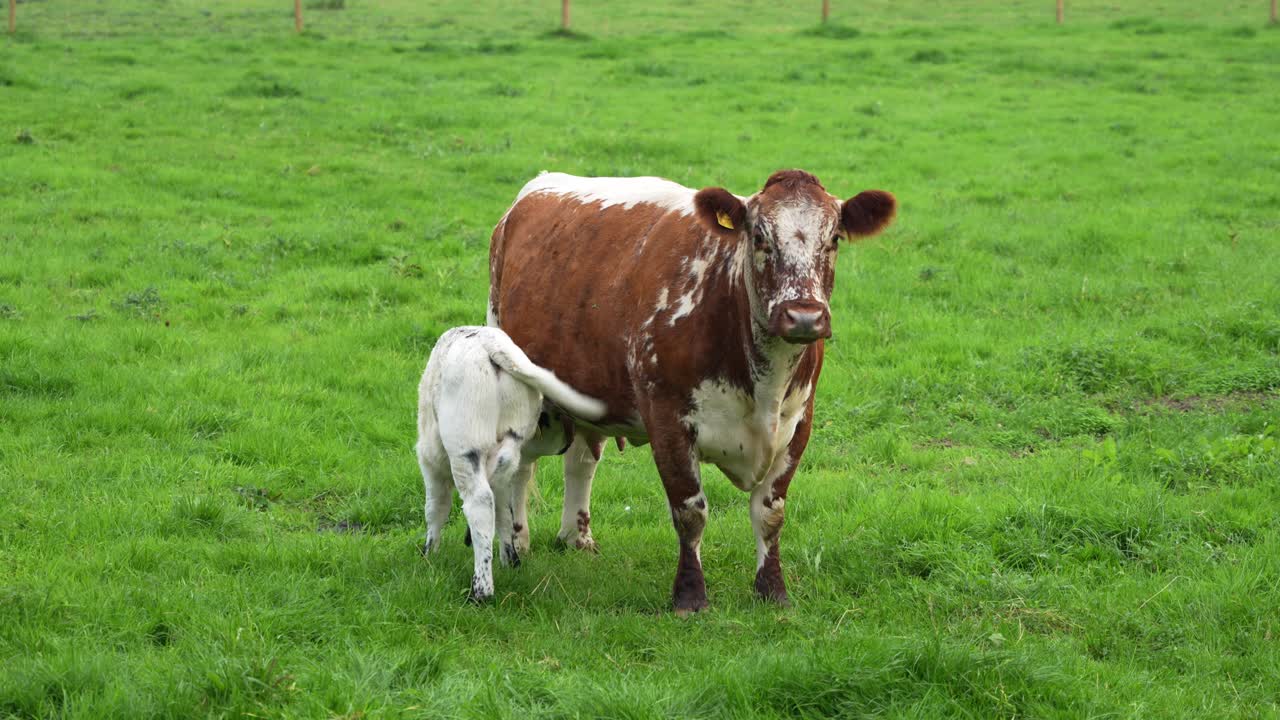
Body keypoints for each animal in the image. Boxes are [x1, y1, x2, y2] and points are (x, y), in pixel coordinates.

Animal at [415, 326, 606, 602]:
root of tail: (492, 344)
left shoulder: (430, 460)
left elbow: (435, 508)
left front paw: (430, 553)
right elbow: (505, 508)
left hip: (465, 446)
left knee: (481, 502)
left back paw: (481, 590)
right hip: (512, 435)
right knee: (500, 498)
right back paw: (510, 560)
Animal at [487, 170, 896, 613]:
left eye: (834, 237)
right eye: (758, 236)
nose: (804, 316)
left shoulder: (798, 422)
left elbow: (770, 513)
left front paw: (773, 591)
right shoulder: (667, 418)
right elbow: (690, 511)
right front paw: (690, 595)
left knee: (581, 459)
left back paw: (576, 538)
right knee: (521, 464)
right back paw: (516, 543)